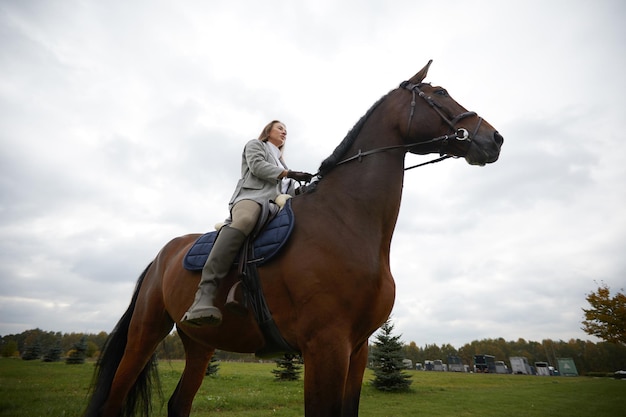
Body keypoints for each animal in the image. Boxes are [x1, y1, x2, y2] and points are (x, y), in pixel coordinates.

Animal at [83, 61, 502, 416]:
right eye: (442, 92)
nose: (494, 138)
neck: (346, 219)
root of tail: (160, 257)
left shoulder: (358, 350)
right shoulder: (326, 347)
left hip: (200, 346)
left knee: (178, 403)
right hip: (145, 334)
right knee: (114, 400)